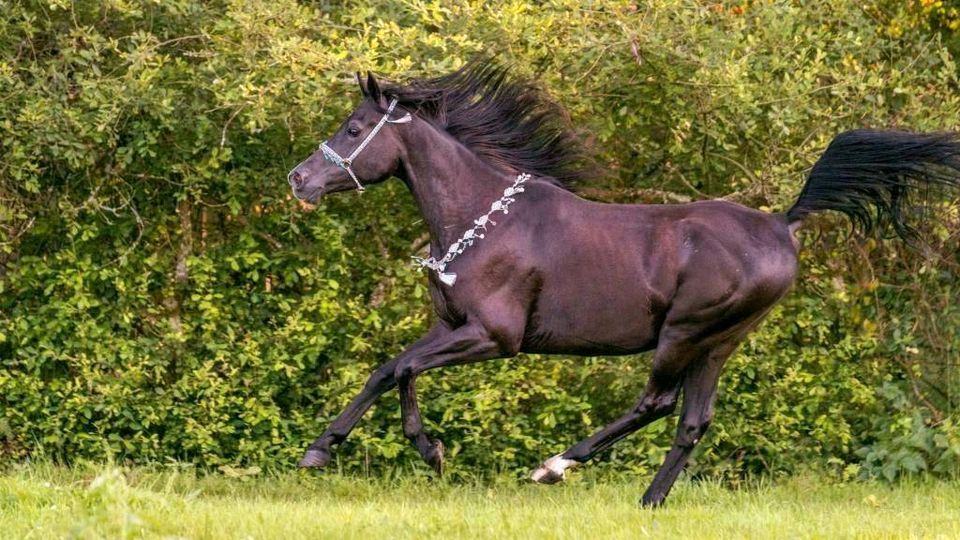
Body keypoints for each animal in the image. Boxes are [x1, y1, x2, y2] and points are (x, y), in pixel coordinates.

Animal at [284, 61, 960, 508]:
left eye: (353, 129)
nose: (299, 180)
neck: (481, 217)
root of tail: (782, 225)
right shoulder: (451, 324)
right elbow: (386, 370)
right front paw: (332, 448)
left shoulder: (495, 337)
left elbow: (402, 369)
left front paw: (420, 451)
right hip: (721, 341)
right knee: (692, 422)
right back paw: (648, 500)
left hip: (686, 331)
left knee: (656, 404)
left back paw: (554, 467)